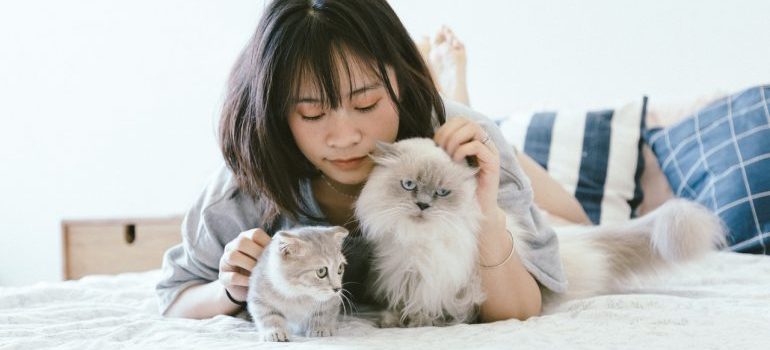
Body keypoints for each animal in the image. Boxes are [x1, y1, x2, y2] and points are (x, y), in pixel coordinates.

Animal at [354, 137, 728, 328]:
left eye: (442, 193)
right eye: (408, 185)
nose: (422, 206)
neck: (422, 245)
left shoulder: (449, 280)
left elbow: (440, 305)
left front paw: (428, 321)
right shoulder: (404, 273)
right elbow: (404, 301)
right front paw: (396, 320)